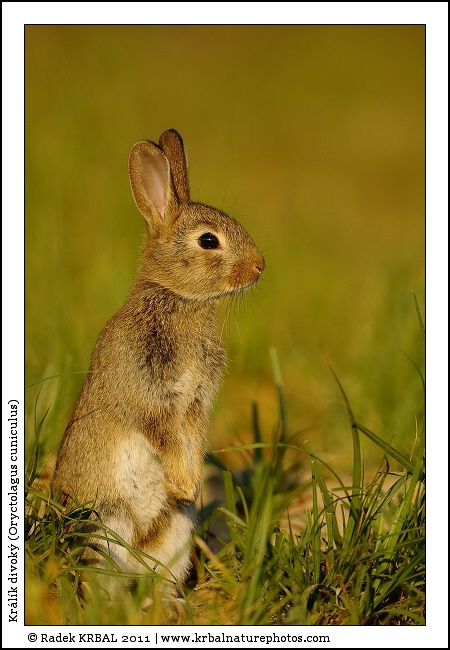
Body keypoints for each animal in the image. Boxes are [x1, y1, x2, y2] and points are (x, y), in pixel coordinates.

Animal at [53, 129, 265, 607]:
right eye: (209, 241)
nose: (260, 267)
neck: (179, 299)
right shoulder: (150, 392)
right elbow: (162, 432)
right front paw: (186, 484)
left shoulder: (196, 403)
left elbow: (193, 433)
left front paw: (190, 485)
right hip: (104, 525)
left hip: (177, 534)